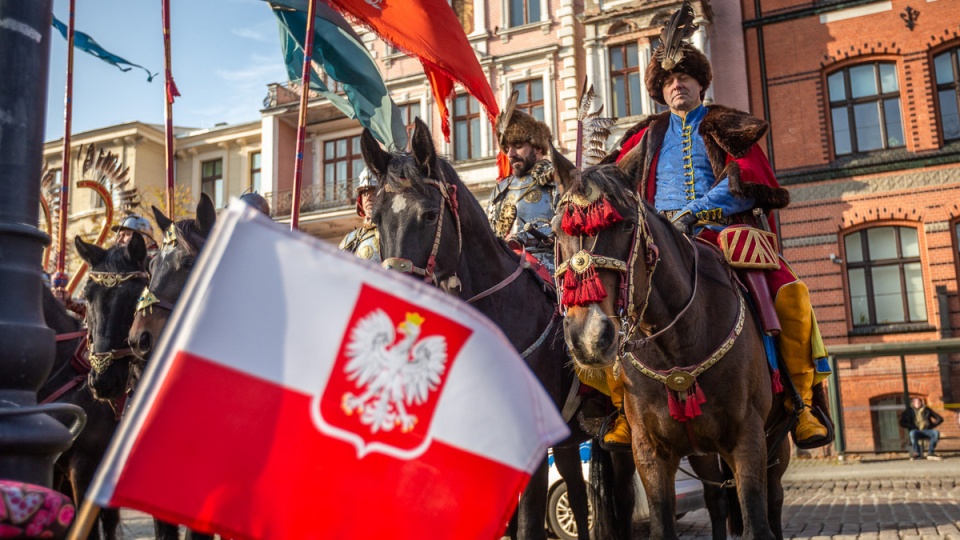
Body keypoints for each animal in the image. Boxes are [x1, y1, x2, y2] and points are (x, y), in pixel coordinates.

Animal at [556, 163, 788, 540]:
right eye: (555, 230)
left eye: (626, 225)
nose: (589, 336)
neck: (675, 347)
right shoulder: (650, 451)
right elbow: (663, 524)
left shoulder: (748, 439)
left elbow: (757, 521)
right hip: (701, 451)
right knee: (714, 499)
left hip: (776, 442)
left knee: (774, 500)